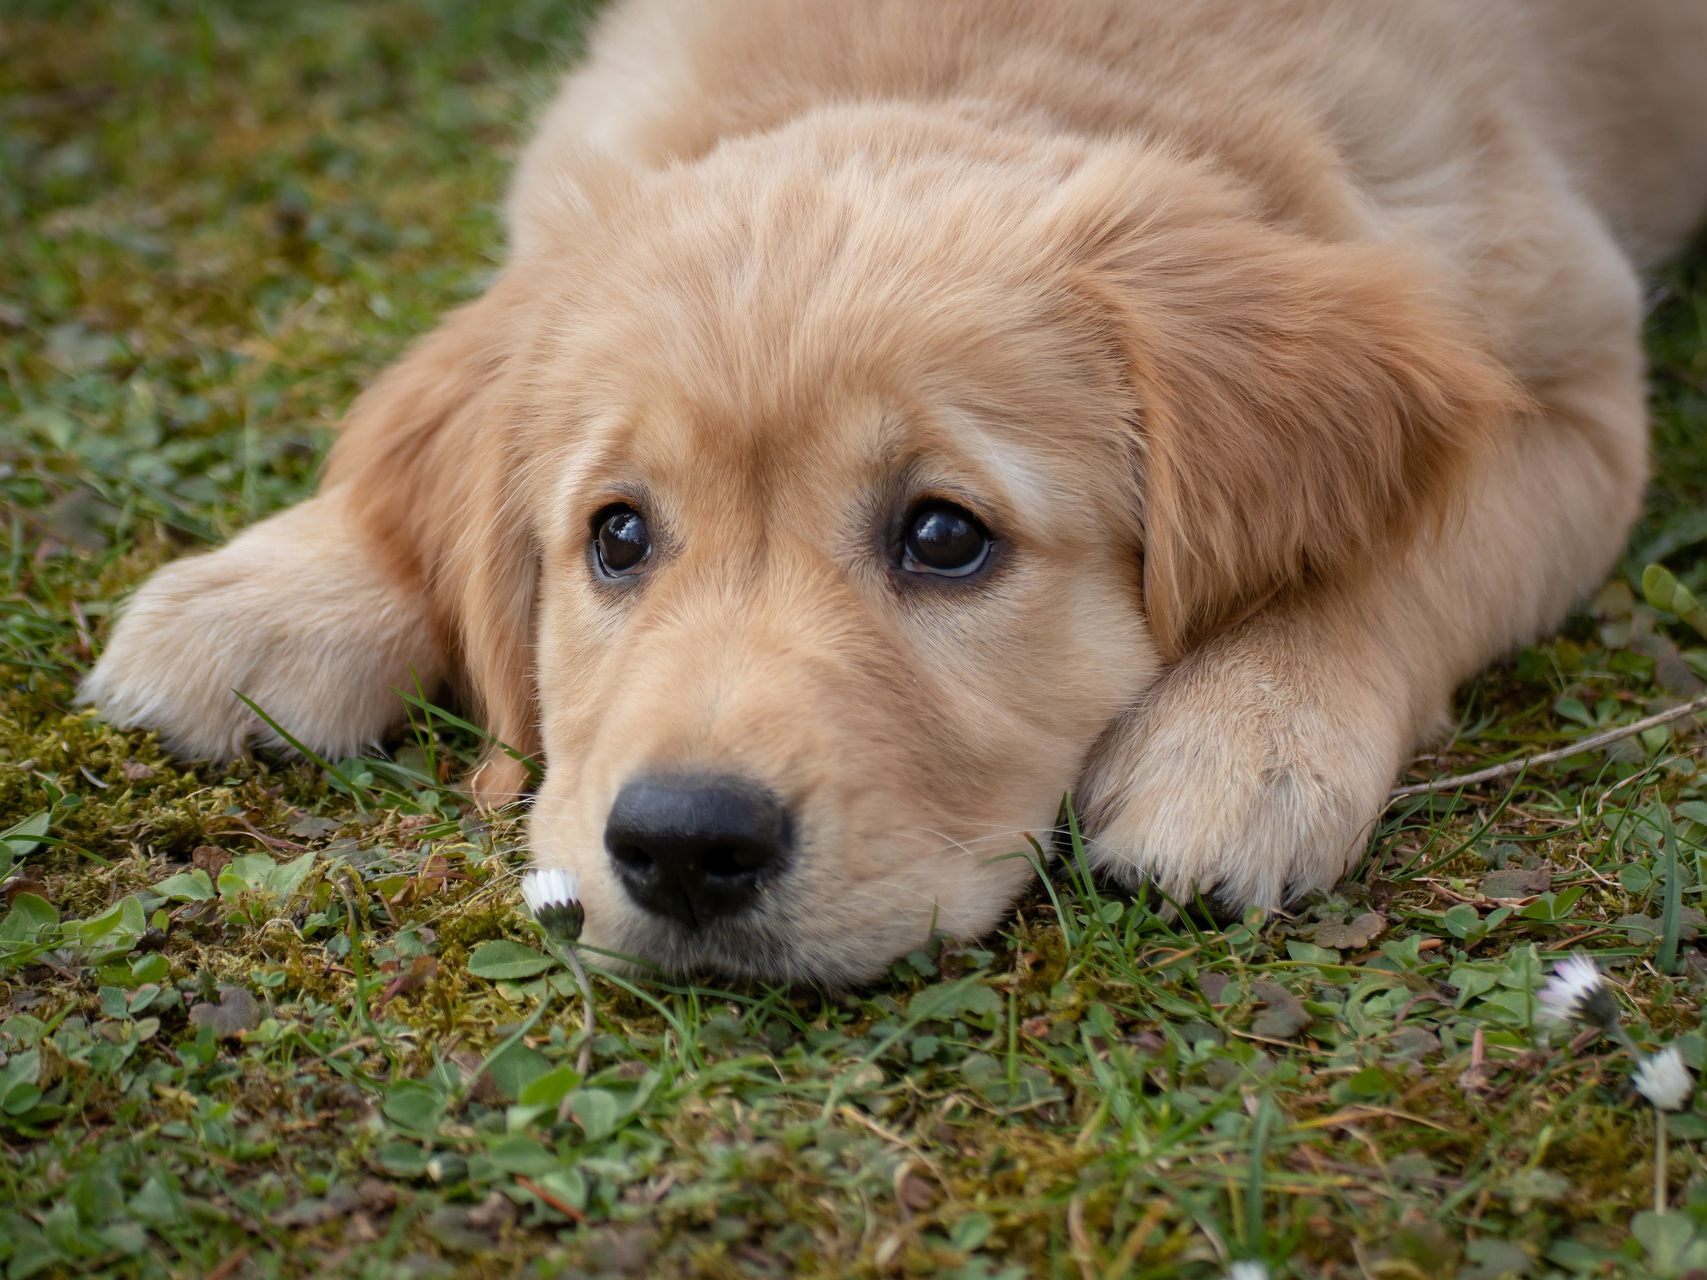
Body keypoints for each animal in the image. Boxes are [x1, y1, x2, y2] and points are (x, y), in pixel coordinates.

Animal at [83, 0, 1707, 983]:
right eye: (616, 535)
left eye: (944, 536)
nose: (684, 845)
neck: (971, 54)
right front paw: (276, 589)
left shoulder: (1569, 383)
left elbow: (1406, 550)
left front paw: (1248, 729)